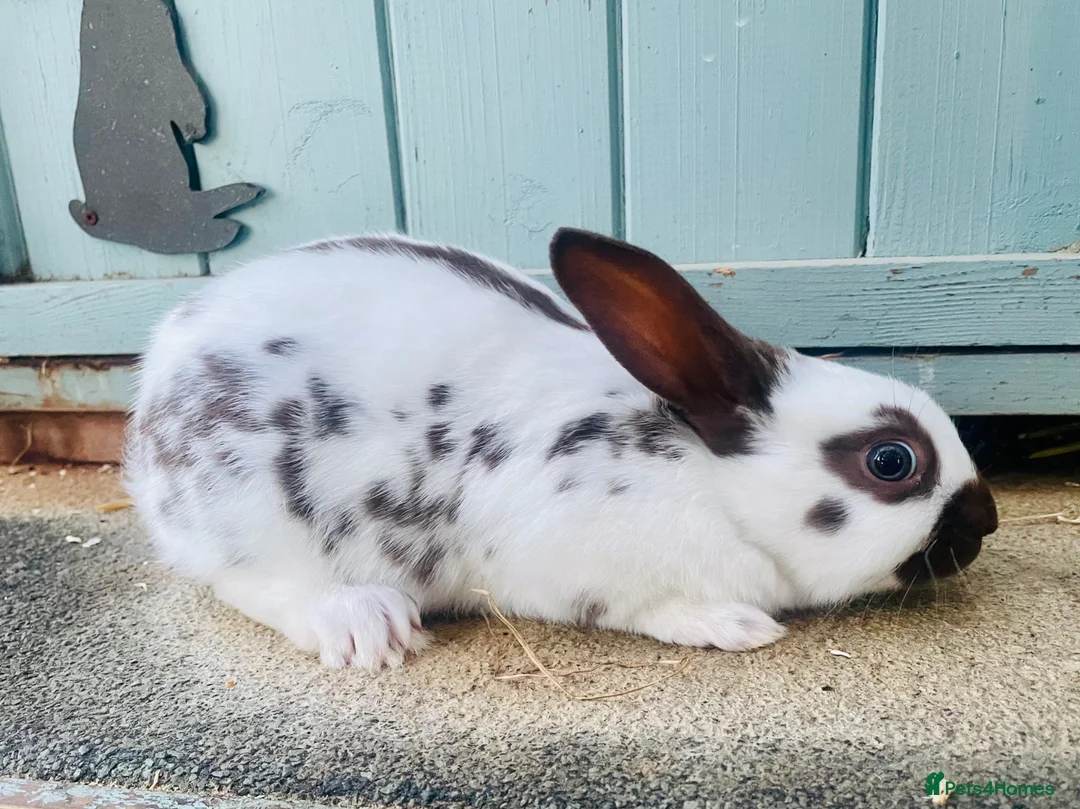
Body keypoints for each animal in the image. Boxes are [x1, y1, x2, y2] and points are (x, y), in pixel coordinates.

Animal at [125, 228, 998, 670]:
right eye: (892, 461)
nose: (985, 521)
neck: (708, 481)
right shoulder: (569, 562)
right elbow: (649, 609)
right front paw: (734, 624)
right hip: (250, 513)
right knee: (247, 582)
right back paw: (364, 623)